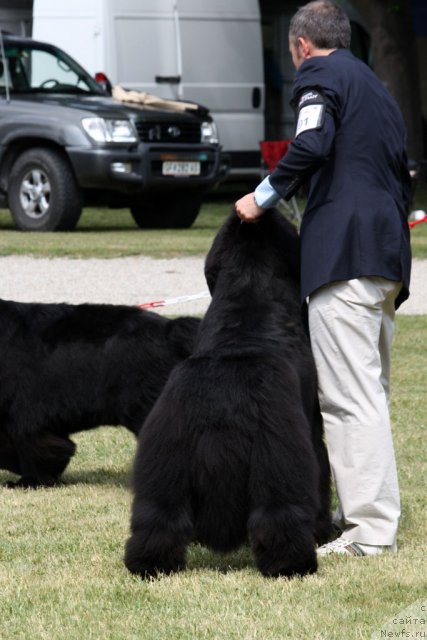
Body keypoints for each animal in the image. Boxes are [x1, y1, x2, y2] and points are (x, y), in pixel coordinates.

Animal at [123, 210, 332, 580]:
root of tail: (220, 414)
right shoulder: (310, 428)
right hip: (279, 463)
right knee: (279, 517)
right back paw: (293, 564)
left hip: (164, 462)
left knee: (158, 519)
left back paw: (150, 566)